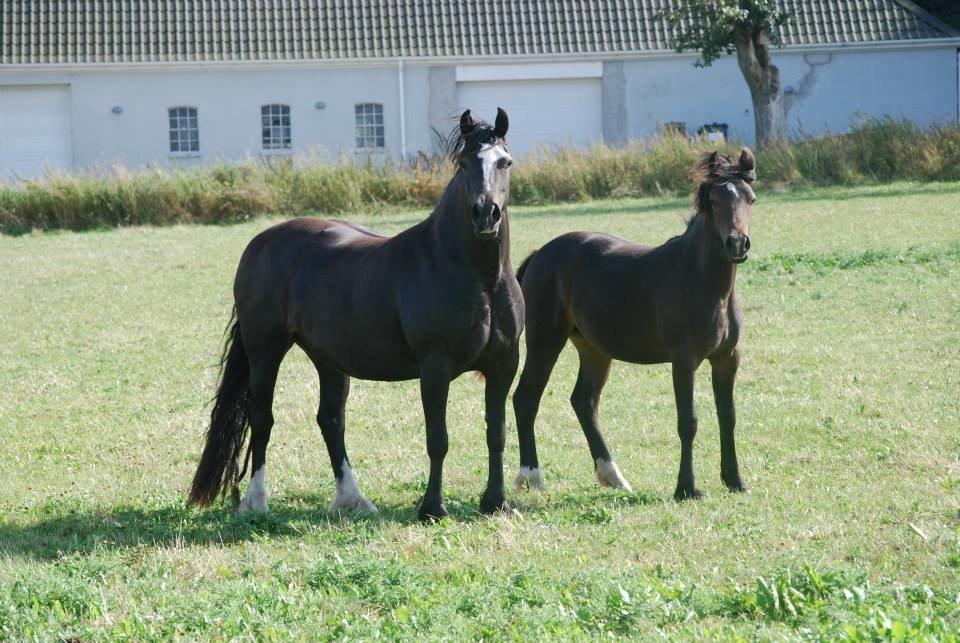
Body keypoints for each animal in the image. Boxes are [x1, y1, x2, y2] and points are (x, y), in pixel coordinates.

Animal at [186, 109, 516, 524]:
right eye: (463, 163)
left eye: (504, 162)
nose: (485, 213)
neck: (476, 277)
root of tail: (260, 243)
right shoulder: (435, 369)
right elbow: (437, 440)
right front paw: (432, 508)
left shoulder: (503, 366)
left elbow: (497, 434)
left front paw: (497, 502)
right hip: (266, 350)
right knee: (262, 417)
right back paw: (256, 501)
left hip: (328, 358)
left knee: (330, 420)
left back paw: (352, 499)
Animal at [512, 148, 752, 500]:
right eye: (715, 200)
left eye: (750, 198)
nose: (737, 244)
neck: (700, 280)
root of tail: (540, 254)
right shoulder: (684, 360)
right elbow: (688, 421)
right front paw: (686, 488)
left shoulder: (727, 358)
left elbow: (729, 416)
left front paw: (735, 480)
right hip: (545, 341)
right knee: (526, 398)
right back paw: (531, 476)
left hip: (594, 350)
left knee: (584, 402)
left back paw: (613, 476)